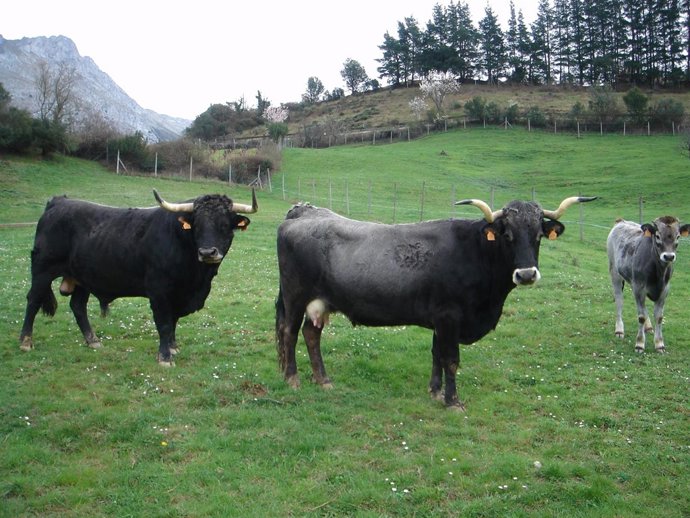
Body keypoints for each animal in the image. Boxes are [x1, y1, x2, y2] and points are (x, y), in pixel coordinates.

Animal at [19, 189, 257, 366]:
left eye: (225, 225)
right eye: (196, 225)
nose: (208, 252)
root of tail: (58, 202)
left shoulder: (179, 295)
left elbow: (173, 322)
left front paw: (173, 347)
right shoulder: (159, 291)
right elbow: (164, 323)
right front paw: (165, 357)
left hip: (82, 278)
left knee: (78, 306)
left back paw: (93, 340)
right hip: (42, 270)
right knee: (33, 300)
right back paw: (25, 342)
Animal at [275, 195, 596, 409]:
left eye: (538, 234)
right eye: (507, 234)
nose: (527, 274)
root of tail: (303, 211)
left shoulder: (440, 321)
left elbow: (436, 355)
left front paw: (435, 391)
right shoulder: (449, 317)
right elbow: (451, 359)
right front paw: (453, 401)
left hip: (320, 302)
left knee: (311, 334)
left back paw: (323, 380)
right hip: (295, 296)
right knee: (290, 333)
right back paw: (292, 379)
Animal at [606, 217, 689, 353]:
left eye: (678, 236)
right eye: (657, 236)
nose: (669, 256)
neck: (658, 273)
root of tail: (621, 221)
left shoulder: (664, 290)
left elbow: (659, 317)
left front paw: (659, 344)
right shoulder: (639, 288)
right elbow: (641, 317)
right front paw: (639, 344)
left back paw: (649, 327)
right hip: (615, 273)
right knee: (619, 299)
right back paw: (619, 330)